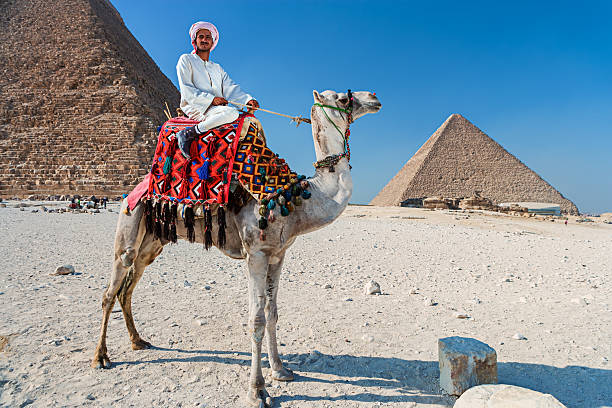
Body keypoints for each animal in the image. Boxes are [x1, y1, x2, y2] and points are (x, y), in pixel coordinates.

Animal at [90, 90, 380, 408]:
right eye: (342, 98)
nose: (374, 97)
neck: (296, 198)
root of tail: (134, 189)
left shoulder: (279, 254)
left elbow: (273, 312)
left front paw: (280, 370)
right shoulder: (255, 254)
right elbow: (256, 319)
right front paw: (258, 391)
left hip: (153, 242)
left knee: (128, 287)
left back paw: (138, 341)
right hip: (130, 222)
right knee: (110, 291)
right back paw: (101, 357)